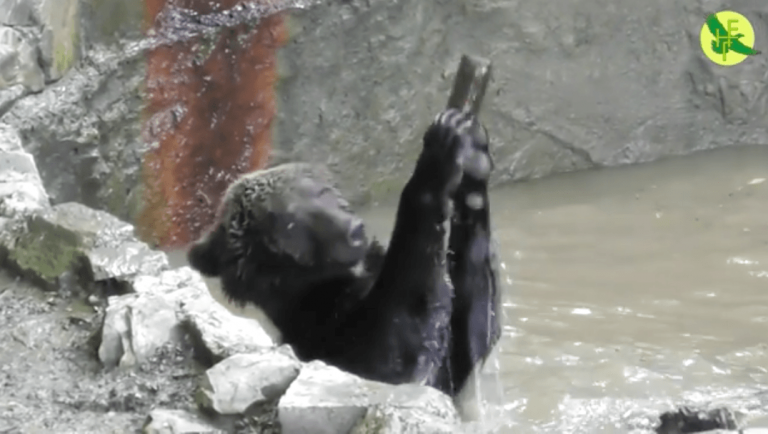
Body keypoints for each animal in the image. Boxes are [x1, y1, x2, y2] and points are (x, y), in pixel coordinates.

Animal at [188, 108, 500, 396]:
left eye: (321, 191)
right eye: (290, 223)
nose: (353, 230)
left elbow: (473, 334)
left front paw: (474, 153)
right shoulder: (335, 337)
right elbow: (402, 337)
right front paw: (439, 152)